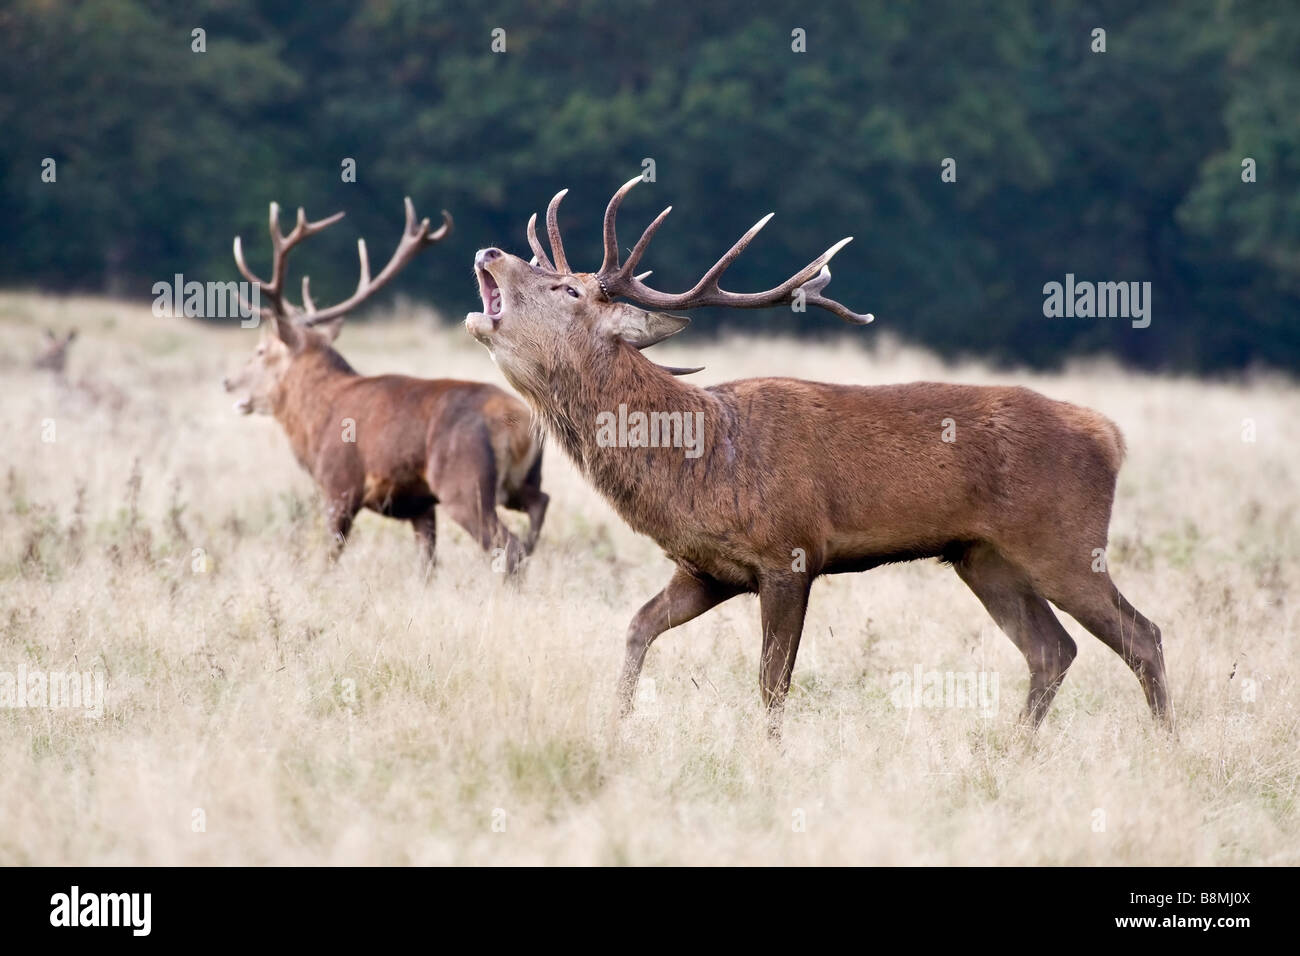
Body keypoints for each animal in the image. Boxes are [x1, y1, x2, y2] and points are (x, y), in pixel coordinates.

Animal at [223, 198, 547, 572]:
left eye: (260, 351)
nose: (228, 382)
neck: (313, 424)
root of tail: (519, 424)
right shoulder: (421, 506)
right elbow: (427, 564)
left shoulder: (339, 485)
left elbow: (330, 554)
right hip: (522, 479)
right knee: (539, 504)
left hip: (464, 481)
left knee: (508, 545)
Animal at [463, 176, 1171, 736]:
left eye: (570, 291)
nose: (489, 249)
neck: (697, 463)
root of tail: (1110, 435)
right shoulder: (706, 569)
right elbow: (637, 627)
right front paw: (618, 724)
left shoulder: (791, 552)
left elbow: (772, 683)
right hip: (985, 558)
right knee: (1052, 650)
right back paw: (1011, 749)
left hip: (1065, 542)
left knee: (1142, 635)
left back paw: (1166, 746)